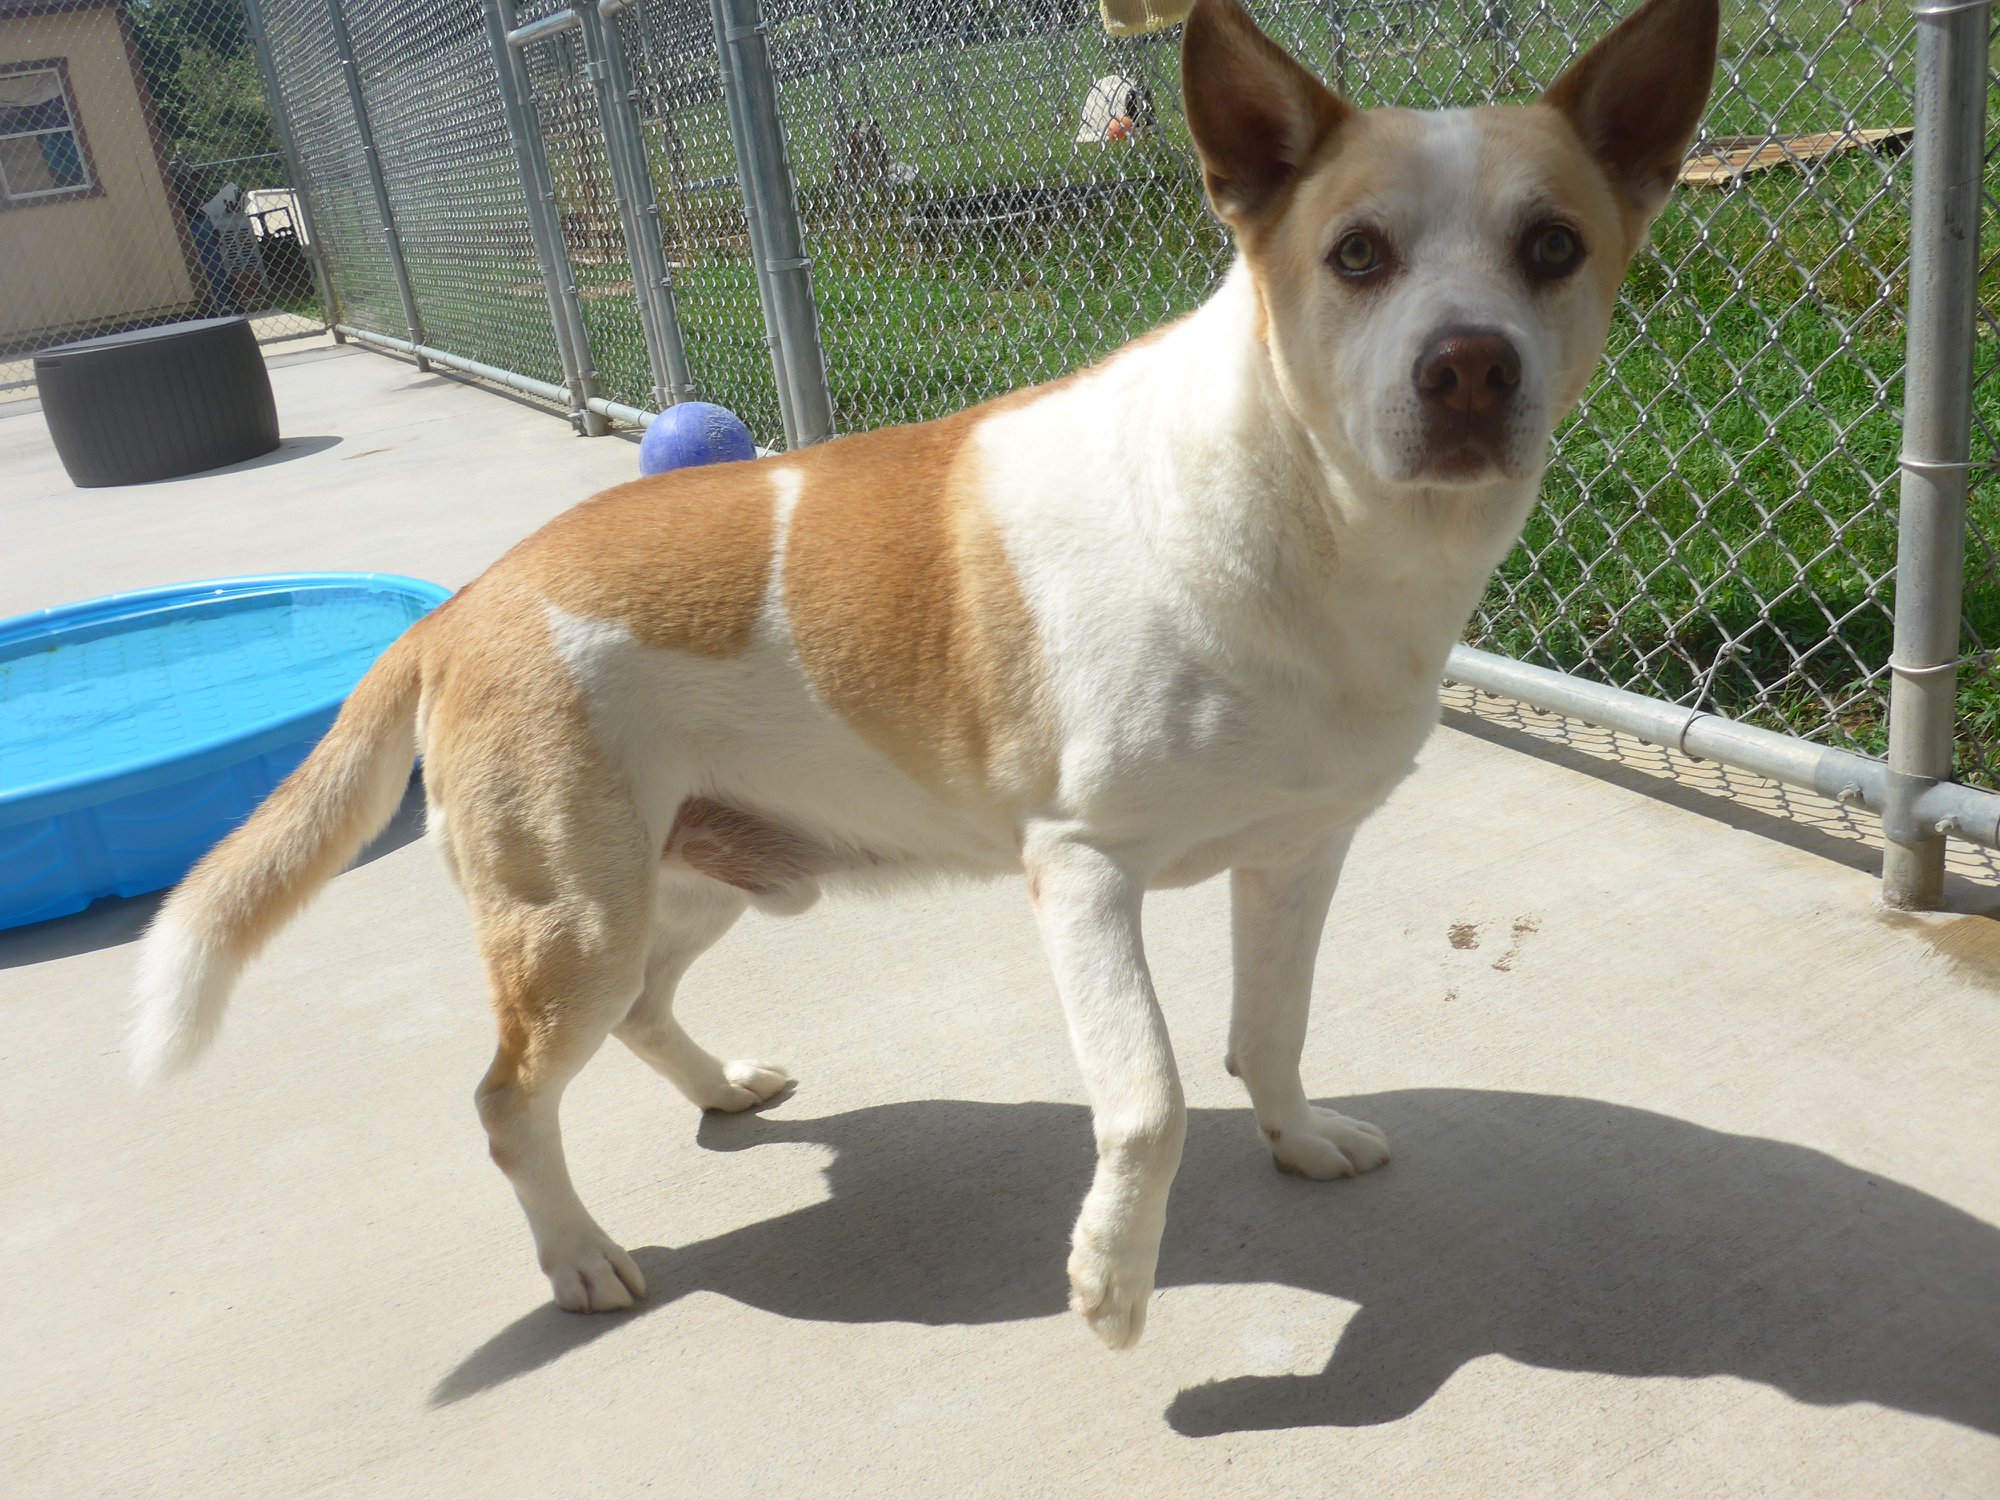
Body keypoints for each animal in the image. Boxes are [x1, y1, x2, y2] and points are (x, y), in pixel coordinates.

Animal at [129, 0, 1720, 1360]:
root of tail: (464, 605)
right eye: (1357, 256)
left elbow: (1266, 1031)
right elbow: (1147, 1100)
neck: (1302, 514)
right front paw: (1114, 1284)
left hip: (692, 881)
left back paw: (719, 1090)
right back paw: (577, 1256)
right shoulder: (1081, 874)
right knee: (509, 1100)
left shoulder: (1298, 856)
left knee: (640, 1014)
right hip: (577, 919)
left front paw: (1297, 1136)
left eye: (1552, 245)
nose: (1469, 371)